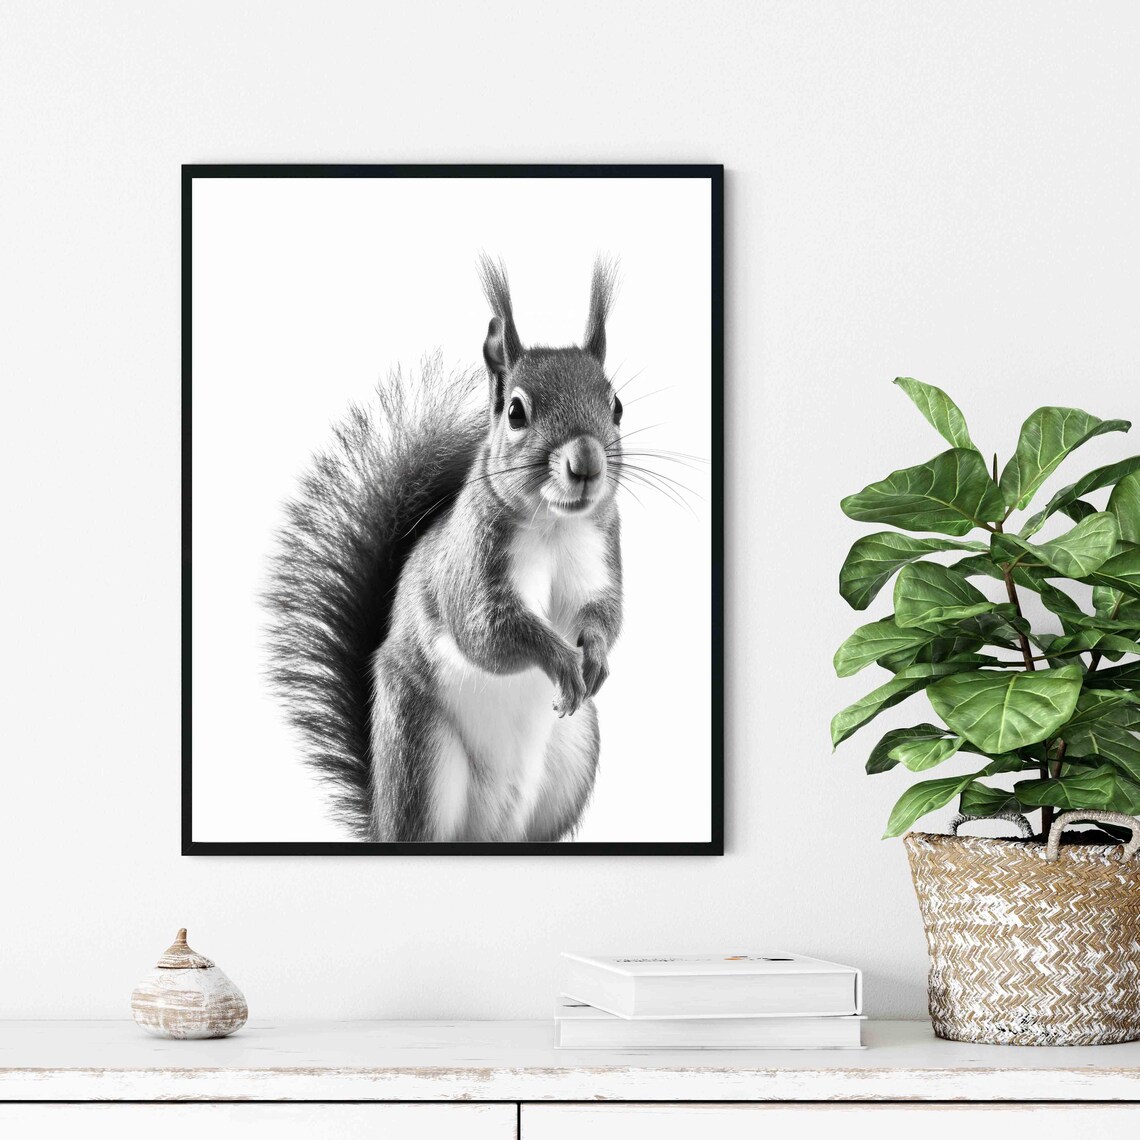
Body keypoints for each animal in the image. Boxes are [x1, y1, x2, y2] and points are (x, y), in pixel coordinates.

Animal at [265, 258, 624, 842]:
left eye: (615, 405)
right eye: (516, 412)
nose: (587, 462)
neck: (554, 526)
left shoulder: (601, 553)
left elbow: (605, 616)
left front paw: (593, 655)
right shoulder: (471, 565)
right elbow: (488, 631)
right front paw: (559, 659)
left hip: (574, 756)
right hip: (421, 753)